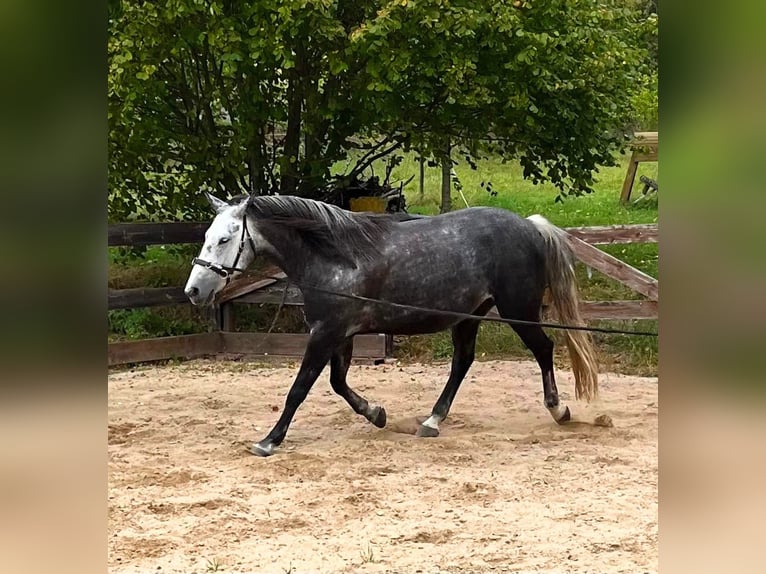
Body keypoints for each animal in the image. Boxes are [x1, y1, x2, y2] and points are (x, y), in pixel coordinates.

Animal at [184, 192, 598, 457]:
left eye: (225, 239)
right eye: (206, 236)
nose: (194, 290)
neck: (335, 258)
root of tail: (530, 226)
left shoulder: (325, 334)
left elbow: (299, 389)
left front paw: (269, 440)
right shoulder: (340, 335)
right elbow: (338, 383)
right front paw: (376, 414)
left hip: (519, 310)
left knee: (543, 349)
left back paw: (558, 410)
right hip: (469, 316)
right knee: (463, 362)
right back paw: (432, 420)